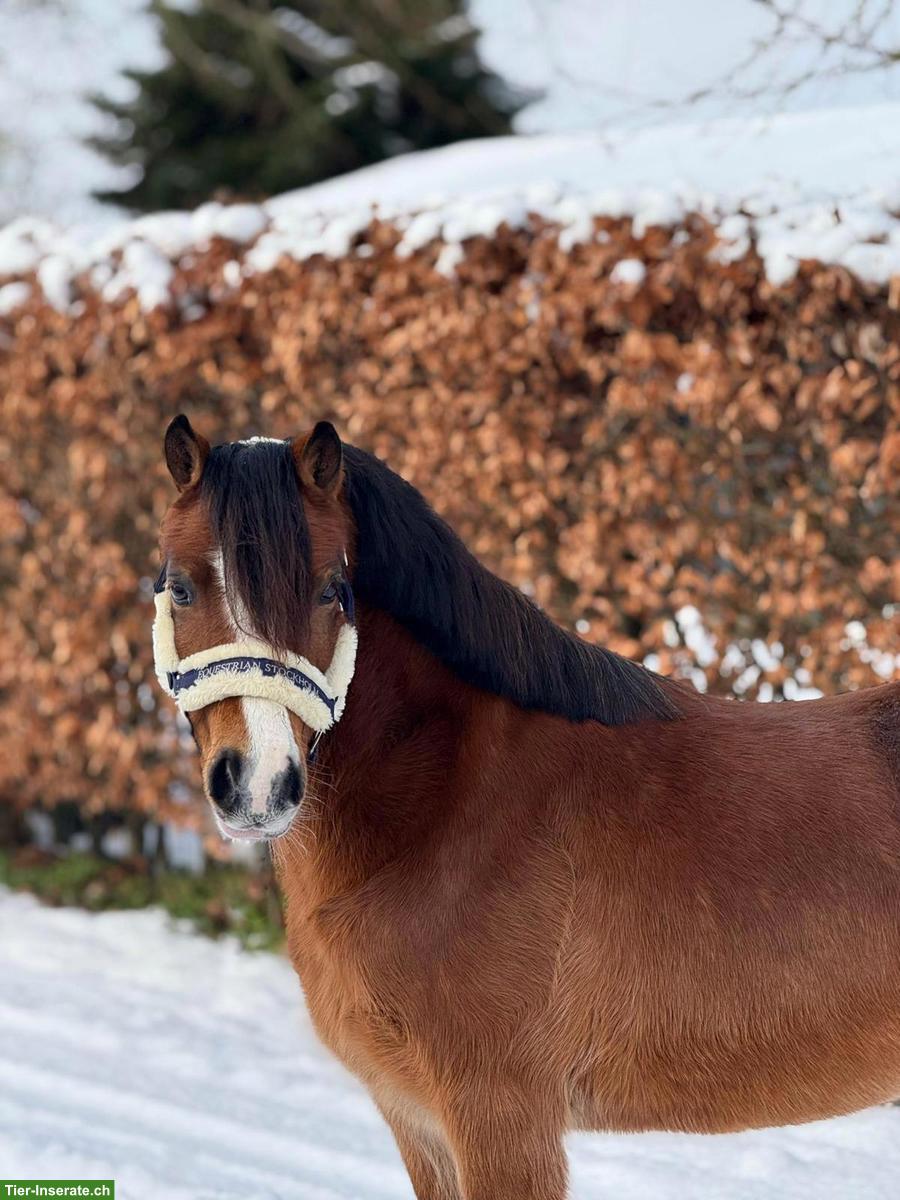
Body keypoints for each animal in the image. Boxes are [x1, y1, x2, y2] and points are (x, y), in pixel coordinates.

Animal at [154, 414, 900, 1200]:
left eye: (332, 590)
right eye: (180, 587)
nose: (259, 785)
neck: (446, 806)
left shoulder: (501, 1119)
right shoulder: (419, 1123)